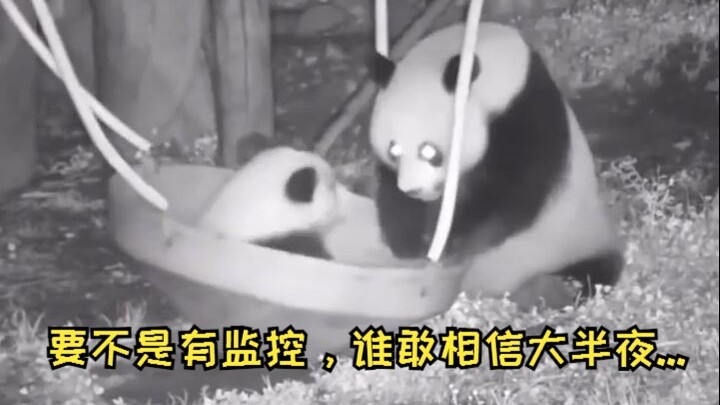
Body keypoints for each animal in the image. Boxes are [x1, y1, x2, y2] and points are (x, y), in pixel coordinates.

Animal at [368, 22, 624, 306]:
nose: (414, 190)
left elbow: (514, 197)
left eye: (429, 151)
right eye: (393, 150)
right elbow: (392, 195)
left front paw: (453, 245)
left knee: (597, 270)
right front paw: (409, 242)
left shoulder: (525, 114)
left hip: (576, 239)